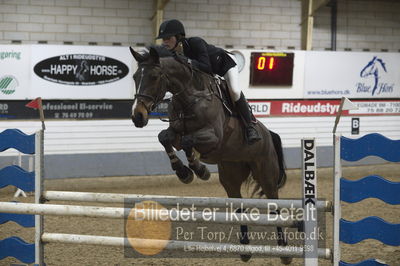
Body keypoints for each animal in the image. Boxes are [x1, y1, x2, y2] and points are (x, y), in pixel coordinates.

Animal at [130, 45, 290, 264]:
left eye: (154, 77)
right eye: (135, 77)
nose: (137, 116)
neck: (189, 96)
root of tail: (268, 134)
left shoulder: (213, 138)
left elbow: (188, 142)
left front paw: (199, 169)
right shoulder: (175, 133)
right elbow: (165, 137)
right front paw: (183, 172)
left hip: (266, 174)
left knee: (275, 206)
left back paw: (284, 251)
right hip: (230, 177)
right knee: (240, 208)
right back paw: (245, 250)